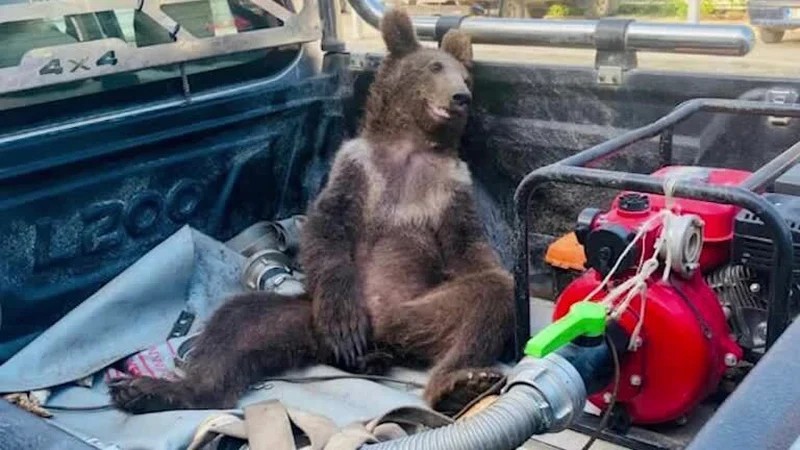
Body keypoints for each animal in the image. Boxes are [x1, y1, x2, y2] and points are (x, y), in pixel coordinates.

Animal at [109, 9, 515, 417]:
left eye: (465, 77)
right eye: (435, 67)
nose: (461, 96)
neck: (411, 147)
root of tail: (383, 340)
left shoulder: (450, 187)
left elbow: (468, 247)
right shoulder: (356, 167)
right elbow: (328, 229)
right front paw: (345, 322)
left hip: (418, 310)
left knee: (487, 299)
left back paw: (457, 384)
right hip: (305, 316)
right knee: (236, 324)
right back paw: (156, 391)